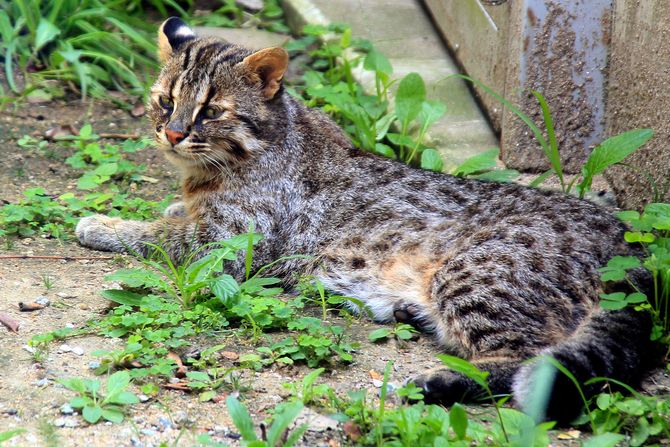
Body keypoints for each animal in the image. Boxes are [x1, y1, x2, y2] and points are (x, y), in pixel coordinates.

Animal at [77, 17, 656, 424]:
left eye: (212, 112)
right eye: (165, 101)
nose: (172, 133)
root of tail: (625, 237)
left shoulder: (224, 244)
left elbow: (157, 237)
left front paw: (102, 223)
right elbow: (172, 216)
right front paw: (164, 206)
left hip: (479, 275)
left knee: (525, 362)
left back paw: (437, 384)